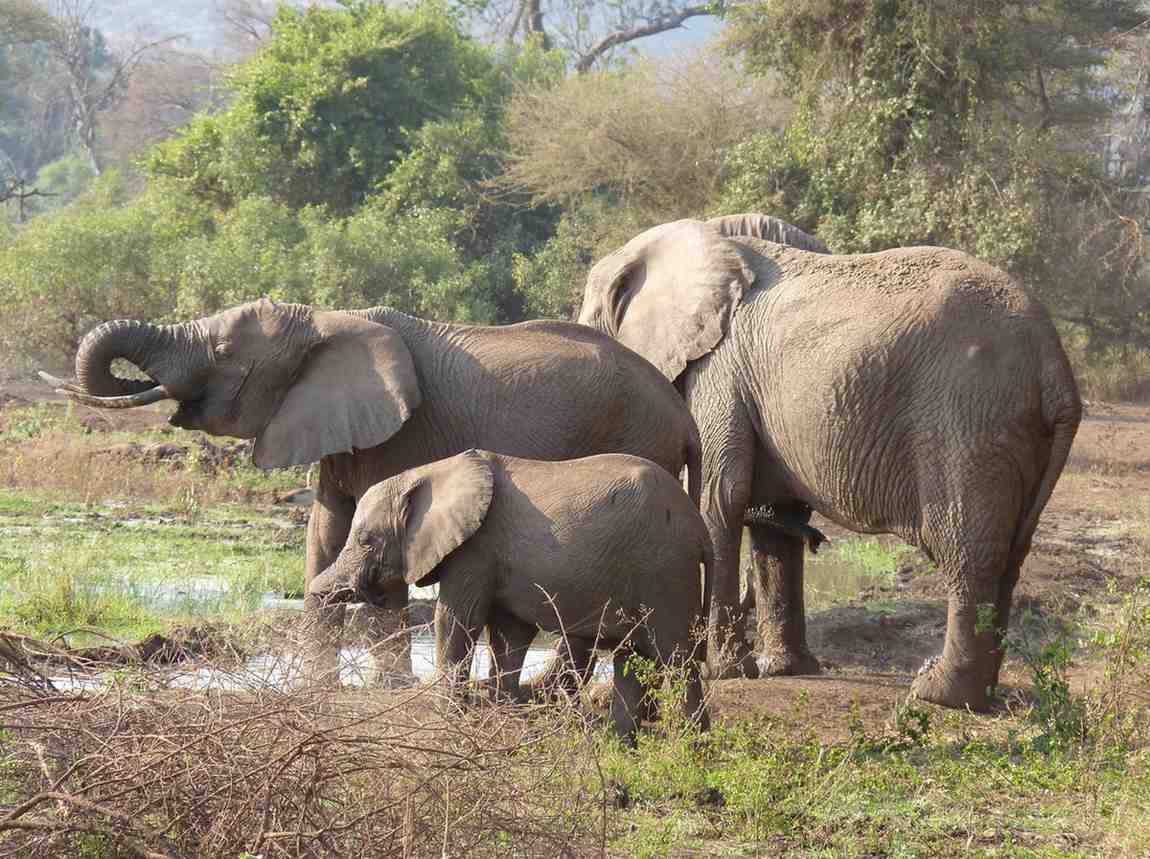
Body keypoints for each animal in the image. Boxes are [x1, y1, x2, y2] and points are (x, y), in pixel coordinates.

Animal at [42, 299, 702, 682]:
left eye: (225, 352)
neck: (325, 320)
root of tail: (684, 417)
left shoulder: (403, 435)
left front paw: (388, 695)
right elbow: (325, 533)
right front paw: (311, 699)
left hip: (633, 441)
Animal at [306, 449, 712, 742]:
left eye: (365, 540)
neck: (430, 471)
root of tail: (699, 526)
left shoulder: (476, 549)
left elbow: (456, 621)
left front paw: (448, 719)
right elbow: (508, 635)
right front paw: (503, 717)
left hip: (664, 567)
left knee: (677, 656)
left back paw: (694, 745)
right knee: (631, 657)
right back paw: (620, 743)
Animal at [577, 215, 1082, 711]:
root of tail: (1055, 365)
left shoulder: (719, 371)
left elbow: (720, 500)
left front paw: (725, 671)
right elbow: (772, 517)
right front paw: (783, 670)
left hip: (970, 423)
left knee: (967, 551)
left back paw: (938, 694)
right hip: (1013, 437)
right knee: (1011, 553)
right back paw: (983, 694)